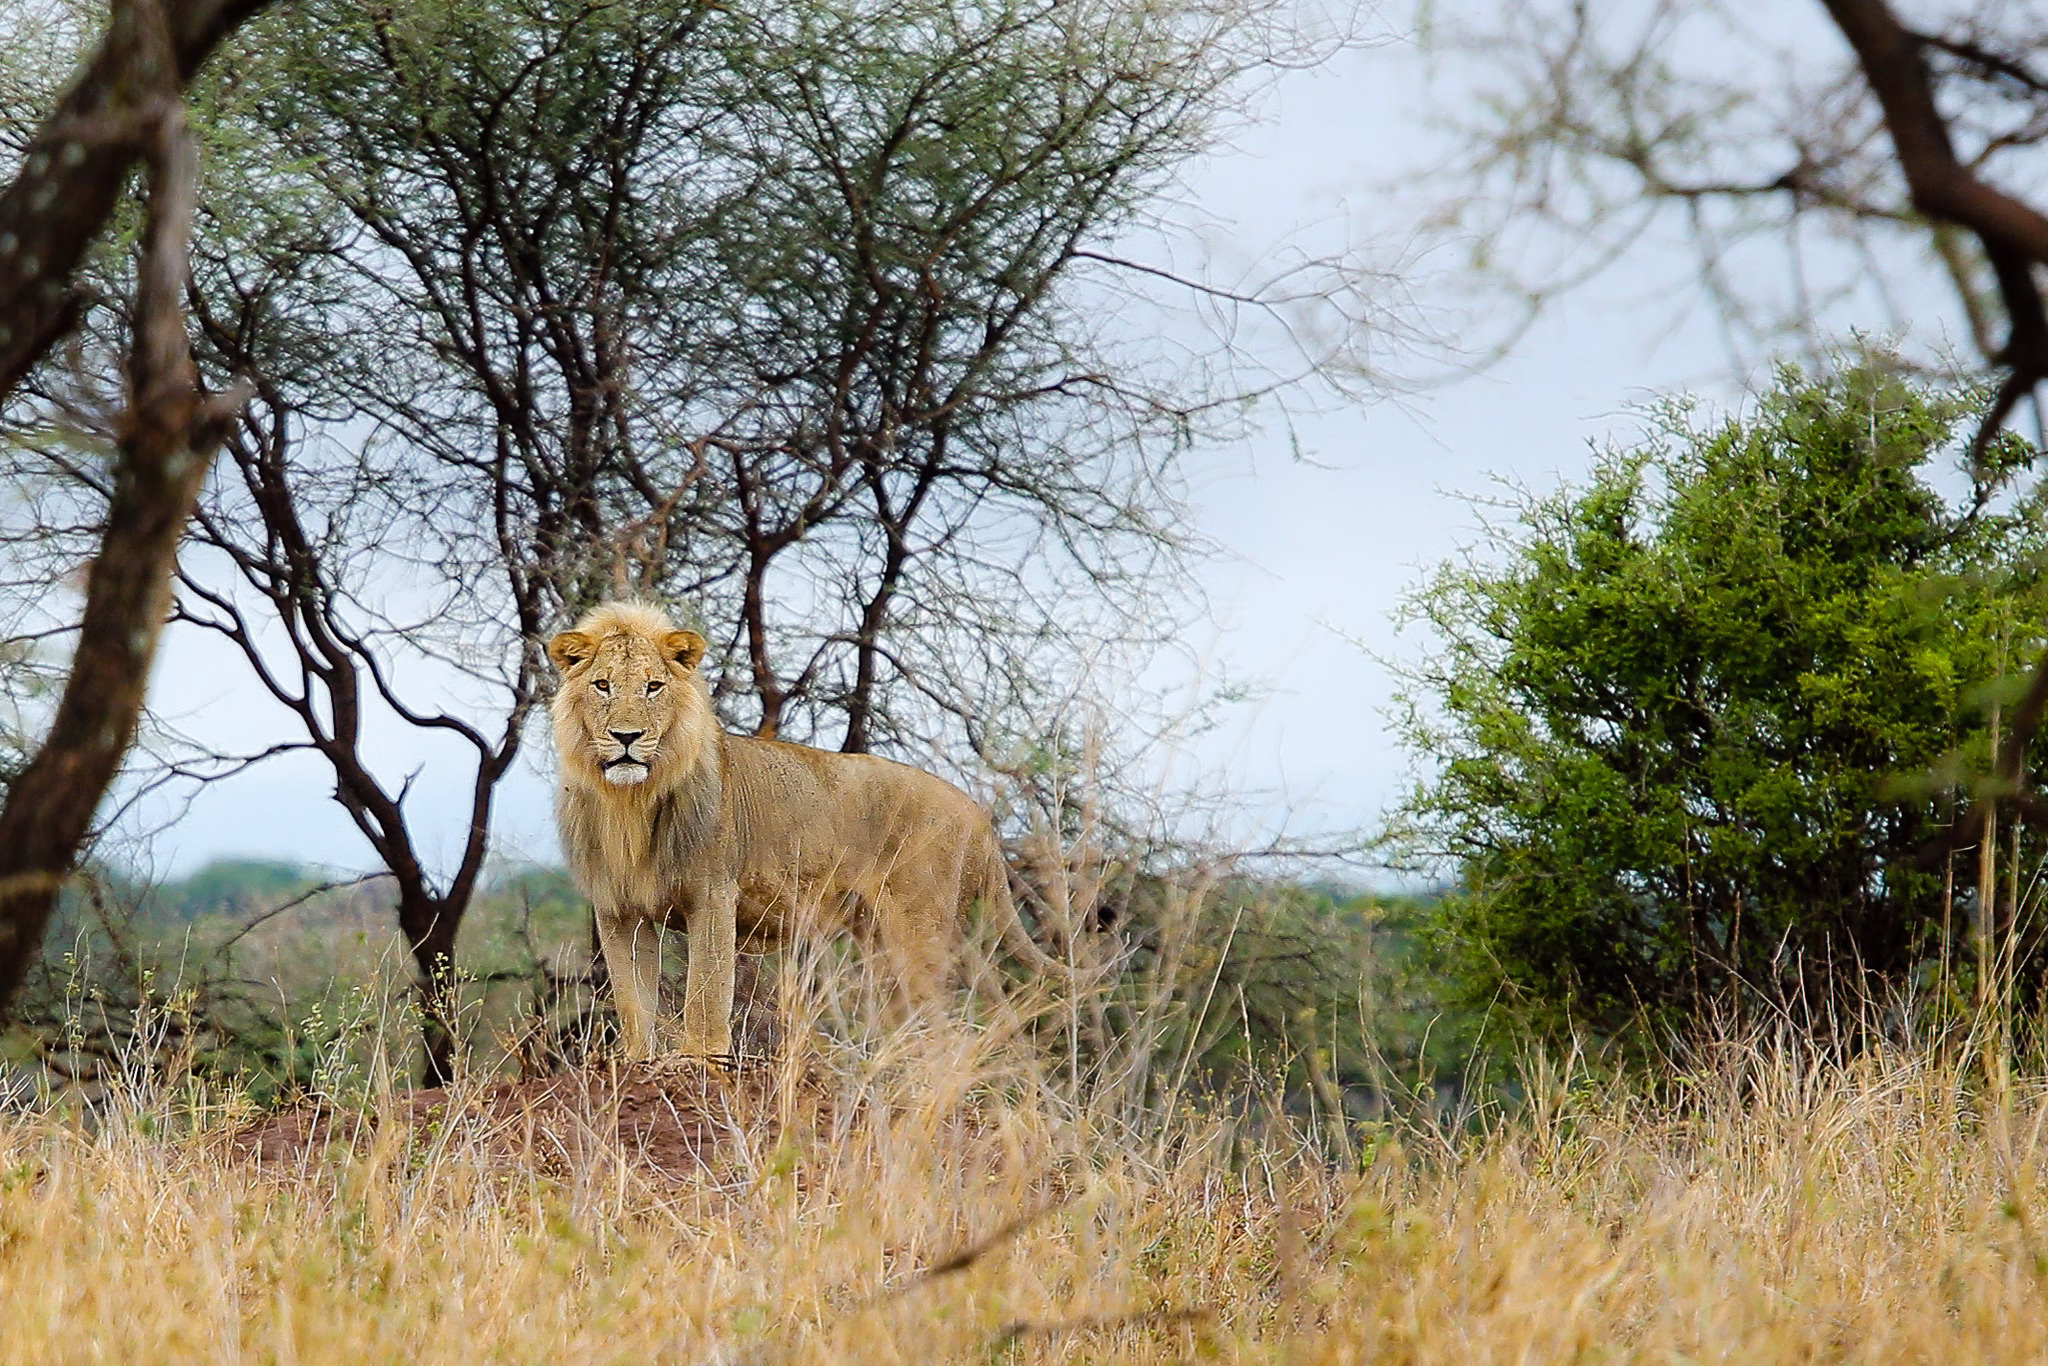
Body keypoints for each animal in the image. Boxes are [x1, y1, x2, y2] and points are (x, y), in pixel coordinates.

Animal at [547, 599, 1073, 1061]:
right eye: (602, 686)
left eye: (653, 687)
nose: (627, 737)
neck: (628, 805)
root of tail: (979, 813)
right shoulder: (617, 910)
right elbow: (632, 997)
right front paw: (636, 1060)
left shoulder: (713, 893)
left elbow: (706, 987)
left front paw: (701, 1059)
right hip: (882, 941)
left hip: (921, 930)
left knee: (948, 1026)